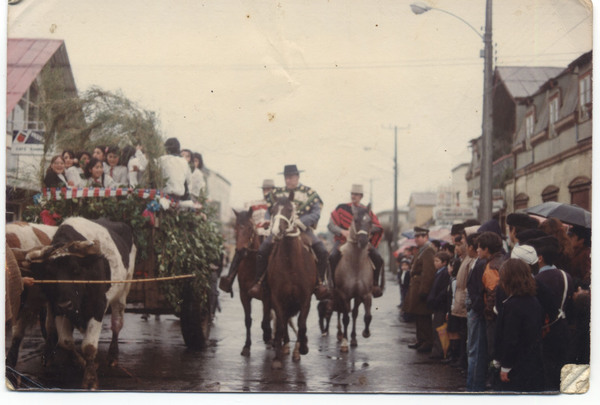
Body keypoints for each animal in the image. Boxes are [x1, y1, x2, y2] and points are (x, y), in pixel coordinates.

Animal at [232, 207, 274, 356]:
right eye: (236, 227)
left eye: (250, 227)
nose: (241, 251)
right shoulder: (244, 295)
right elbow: (248, 320)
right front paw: (246, 346)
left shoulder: (267, 296)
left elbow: (265, 322)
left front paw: (268, 336)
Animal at [266, 191, 316, 368]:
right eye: (272, 210)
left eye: (289, 209)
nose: (276, 232)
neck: (290, 265)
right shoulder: (277, 298)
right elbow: (281, 325)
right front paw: (277, 358)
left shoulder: (306, 299)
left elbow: (302, 324)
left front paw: (304, 348)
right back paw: (286, 346)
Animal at [332, 204, 376, 352]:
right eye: (355, 220)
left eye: (370, 221)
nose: (363, 241)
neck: (355, 264)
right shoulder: (344, 294)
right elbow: (345, 318)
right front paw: (344, 343)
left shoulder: (365, 294)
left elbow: (367, 316)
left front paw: (365, 333)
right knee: (340, 313)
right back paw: (340, 335)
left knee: (355, 313)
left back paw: (353, 338)